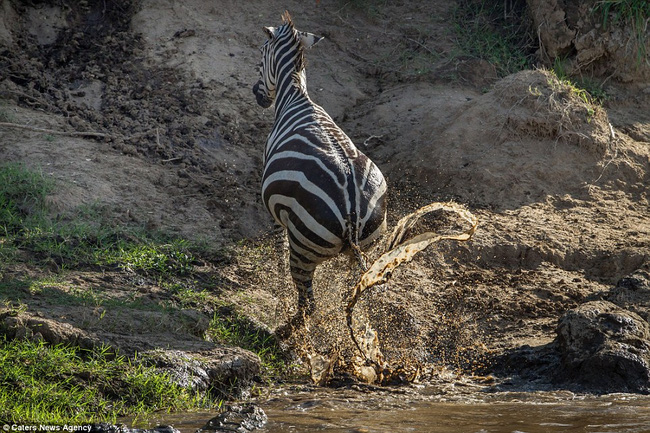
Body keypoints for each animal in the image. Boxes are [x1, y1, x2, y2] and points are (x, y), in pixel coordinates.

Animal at [252, 11, 384, 324]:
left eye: (261, 54)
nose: (257, 95)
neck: (296, 95)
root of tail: (352, 208)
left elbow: (278, 240)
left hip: (303, 246)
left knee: (308, 303)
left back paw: (289, 328)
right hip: (368, 247)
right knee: (350, 298)